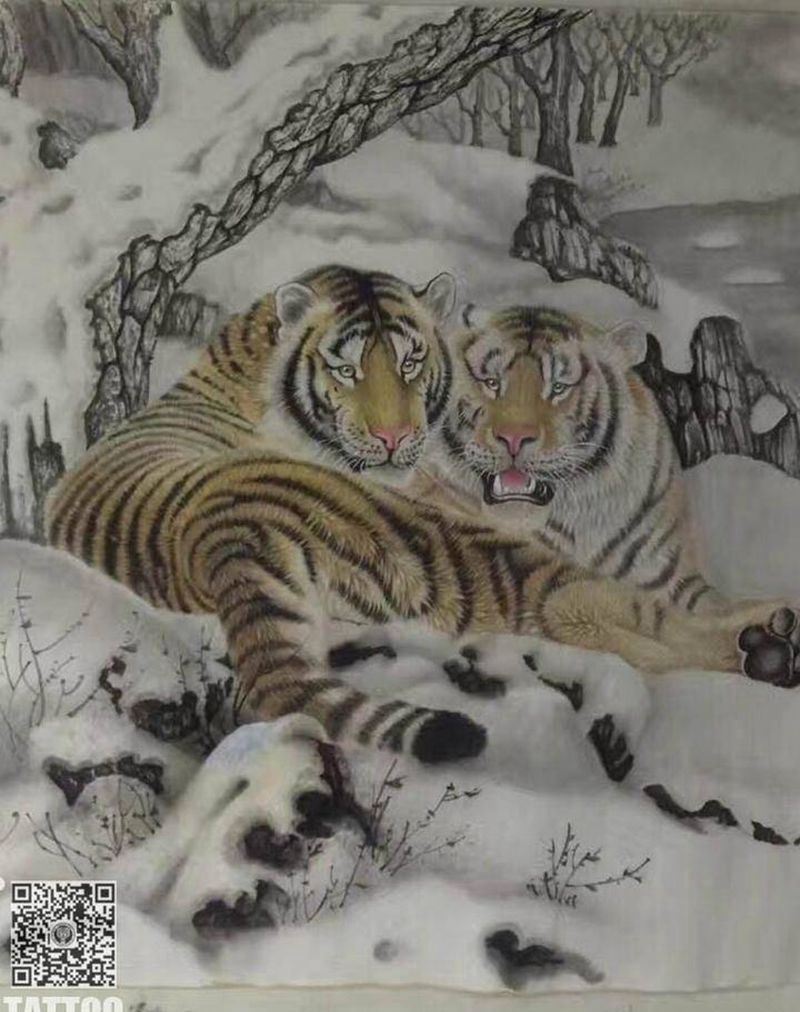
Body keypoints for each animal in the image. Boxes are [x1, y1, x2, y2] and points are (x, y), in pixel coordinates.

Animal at [46, 267, 798, 768]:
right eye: (488, 380)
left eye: (559, 384)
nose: (514, 439)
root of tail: (217, 539)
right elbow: (646, 614)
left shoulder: (672, 569)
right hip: (461, 554)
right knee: (604, 615)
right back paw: (768, 644)